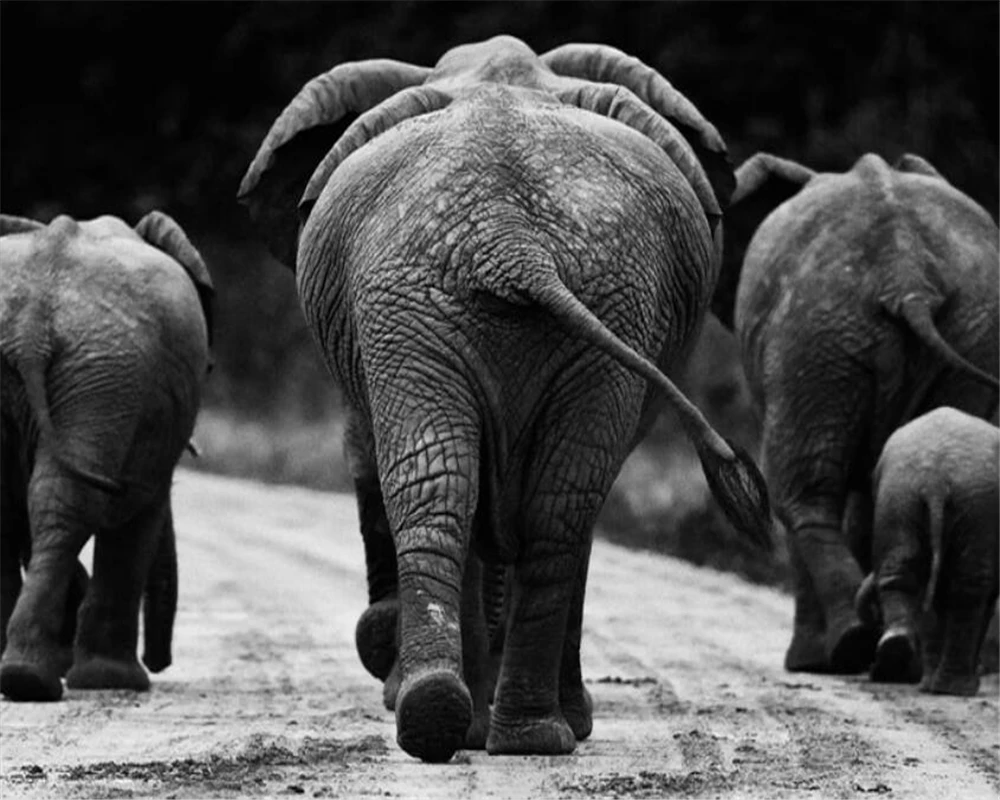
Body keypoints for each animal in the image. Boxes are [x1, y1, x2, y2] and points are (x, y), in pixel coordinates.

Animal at [0, 210, 214, 701]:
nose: (161, 661)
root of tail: (30, 324)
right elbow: (141, 510)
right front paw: (112, 681)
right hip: (107, 367)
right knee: (76, 503)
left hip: (101, 370)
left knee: (50, 503)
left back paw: (23, 678)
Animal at [239, 35, 771, 762]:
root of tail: (511, 240)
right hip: (449, 302)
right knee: (534, 503)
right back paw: (498, 729)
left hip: (503, 301)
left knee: (474, 492)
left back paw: (482, 727)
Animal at [854, 407, 999, 696]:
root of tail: (936, 479)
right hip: (977, 502)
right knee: (968, 587)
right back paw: (953, 688)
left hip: (899, 495)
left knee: (907, 575)